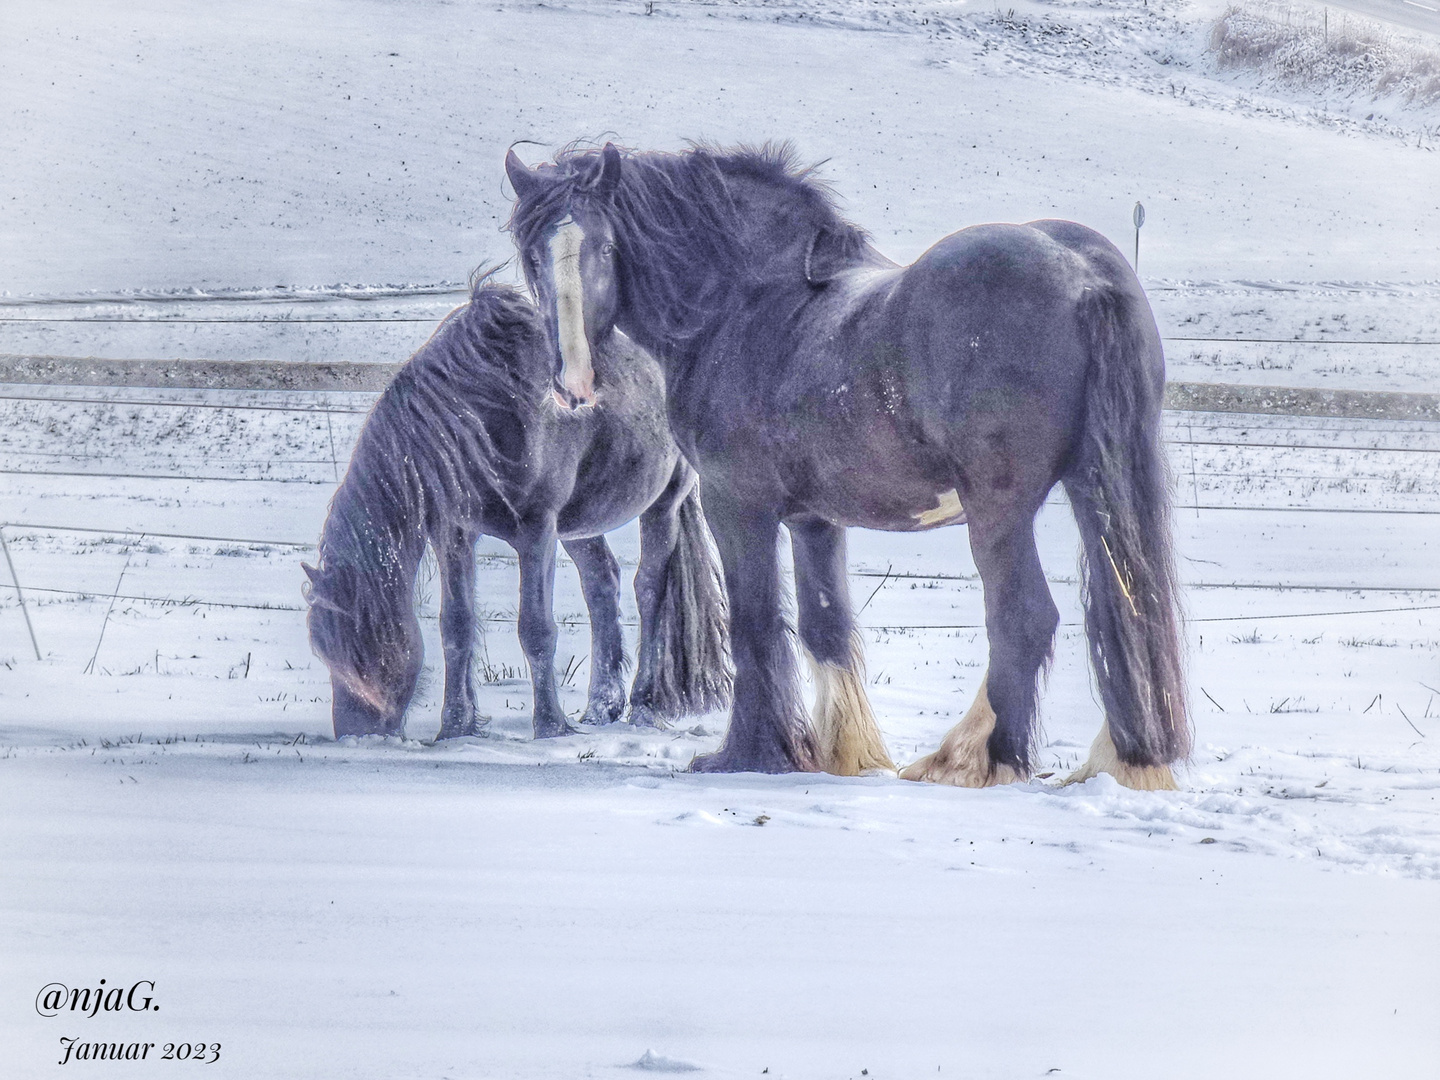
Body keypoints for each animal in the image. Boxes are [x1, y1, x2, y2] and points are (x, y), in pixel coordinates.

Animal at [303, 279, 731, 743]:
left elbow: (536, 629)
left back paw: (644, 707)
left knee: (649, 590)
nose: (355, 732)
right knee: (602, 586)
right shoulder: (453, 533)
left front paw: (550, 726)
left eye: (361, 644)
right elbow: (455, 627)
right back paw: (601, 708)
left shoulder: (537, 532)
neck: (485, 415)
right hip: (580, 526)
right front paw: (456, 728)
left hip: (663, 503)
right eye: (322, 648)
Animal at [506, 144, 1192, 789]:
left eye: (602, 246)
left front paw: (750, 755)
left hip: (999, 508)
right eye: (533, 255)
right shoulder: (814, 519)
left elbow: (756, 623)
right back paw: (1122, 761)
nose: (572, 384)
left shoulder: (739, 505)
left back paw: (968, 760)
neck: (748, 304)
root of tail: (1082, 276)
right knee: (1129, 610)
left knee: (1024, 617)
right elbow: (825, 626)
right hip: (1096, 487)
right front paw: (845, 754)